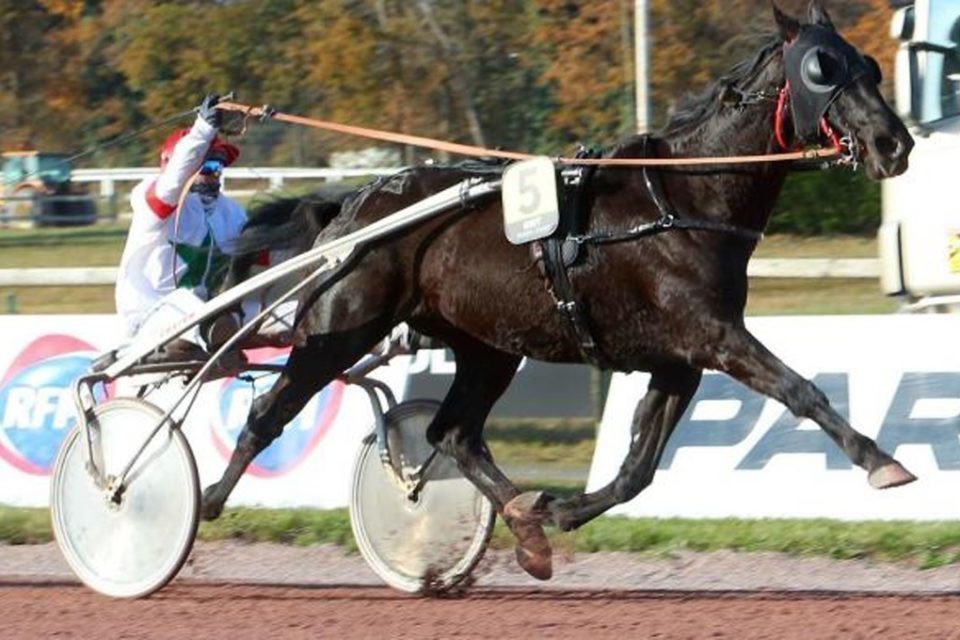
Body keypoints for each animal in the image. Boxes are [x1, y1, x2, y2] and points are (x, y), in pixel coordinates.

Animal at [202, 1, 916, 580]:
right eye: (822, 69)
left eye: (871, 67)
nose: (894, 142)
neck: (683, 198)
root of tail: (354, 206)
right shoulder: (713, 336)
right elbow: (801, 389)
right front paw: (882, 460)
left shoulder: (680, 357)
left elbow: (637, 470)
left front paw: (559, 509)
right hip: (339, 330)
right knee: (269, 414)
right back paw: (202, 502)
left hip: (488, 346)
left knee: (453, 433)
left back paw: (524, 522)